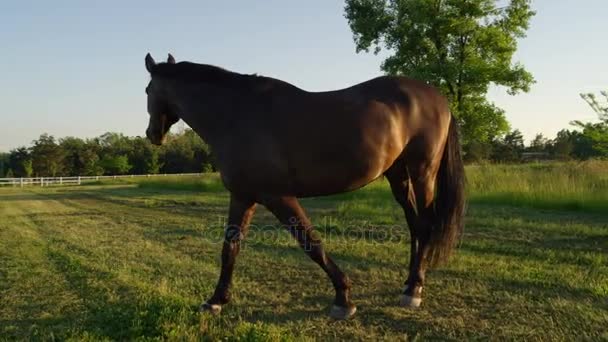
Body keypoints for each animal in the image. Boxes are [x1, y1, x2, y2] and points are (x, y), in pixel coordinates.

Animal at [144, 52, 466, 320]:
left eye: (147, 90)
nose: (152, 134)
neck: (237, 115)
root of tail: (438, 99)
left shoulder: (278, 196)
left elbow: (310, 243)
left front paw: (343, 299)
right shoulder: (243, 195)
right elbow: (230, 247)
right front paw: (216, 300)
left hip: (423, 173)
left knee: (425, 224)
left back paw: (413, 291)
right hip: (398, 176)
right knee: (415, 225)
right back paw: (410, 284)